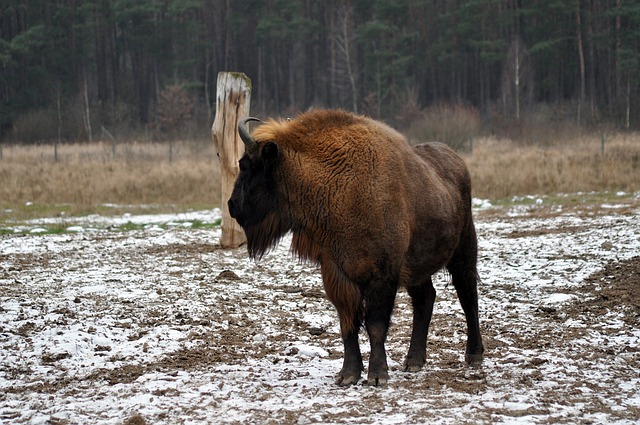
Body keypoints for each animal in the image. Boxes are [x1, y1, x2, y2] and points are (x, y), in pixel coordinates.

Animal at [228, 108, 482, 384]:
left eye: (246, 166)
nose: (232, 205)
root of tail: (457, 162)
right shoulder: (338, 275)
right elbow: (348, 325)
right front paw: (348, 375)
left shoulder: (382, 276)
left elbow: (375, 325)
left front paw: (377, 375)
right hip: (417, 266)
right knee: (425, 299)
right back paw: (414, 361)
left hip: (464, 250)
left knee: (468, 295)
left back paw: (474, 356)